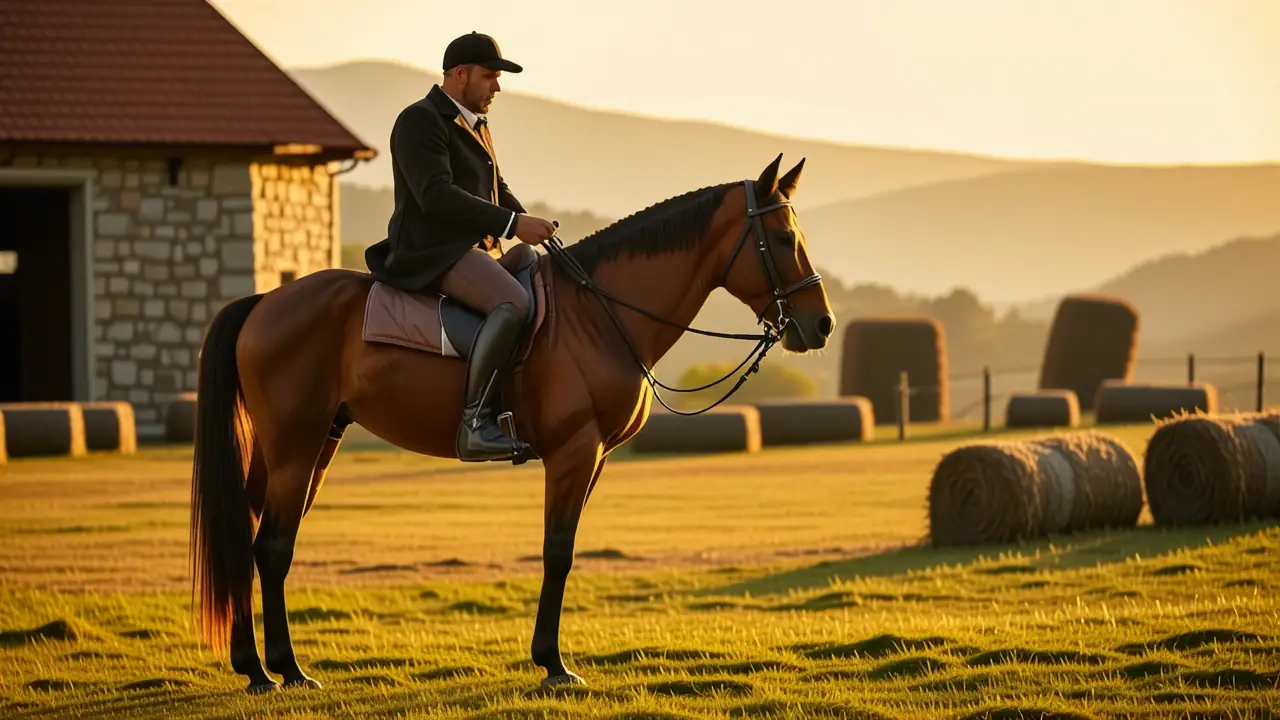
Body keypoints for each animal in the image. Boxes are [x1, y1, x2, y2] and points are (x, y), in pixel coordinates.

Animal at [188, 153, 837, 694]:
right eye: (783, 238)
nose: (823, 325)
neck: (597, 313)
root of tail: (265, 302)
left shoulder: (595, 459)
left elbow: (564, 549)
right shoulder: (574, 452)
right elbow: (558, 553)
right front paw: (553, 663)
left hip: (309, 446)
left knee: (250, 538)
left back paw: (254, 667)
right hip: (296, 448)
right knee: (272, 546)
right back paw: (286, 671)